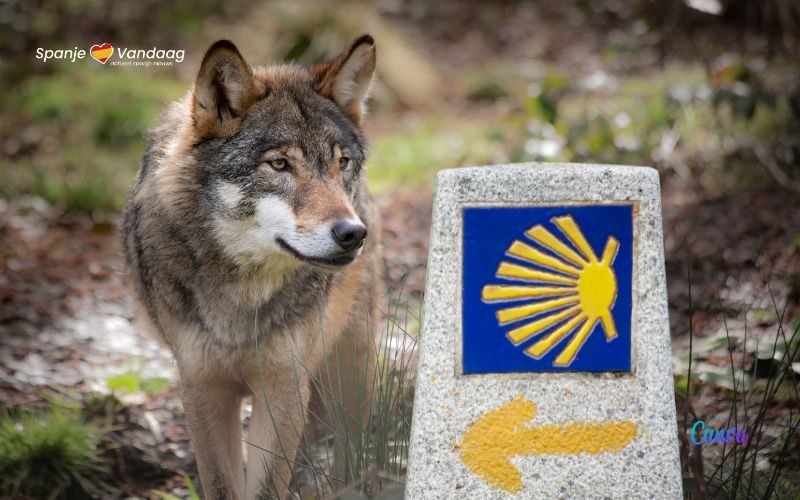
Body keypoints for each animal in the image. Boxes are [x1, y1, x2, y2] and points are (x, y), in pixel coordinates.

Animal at [122, 36, 384, 500]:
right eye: (279, 164)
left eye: (341, 163)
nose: (353, 233)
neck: (240, 295)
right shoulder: (202, 387)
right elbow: (224, 484)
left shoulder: (284, 386)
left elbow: (266, 488)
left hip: (350, 370)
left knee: (349, 456)